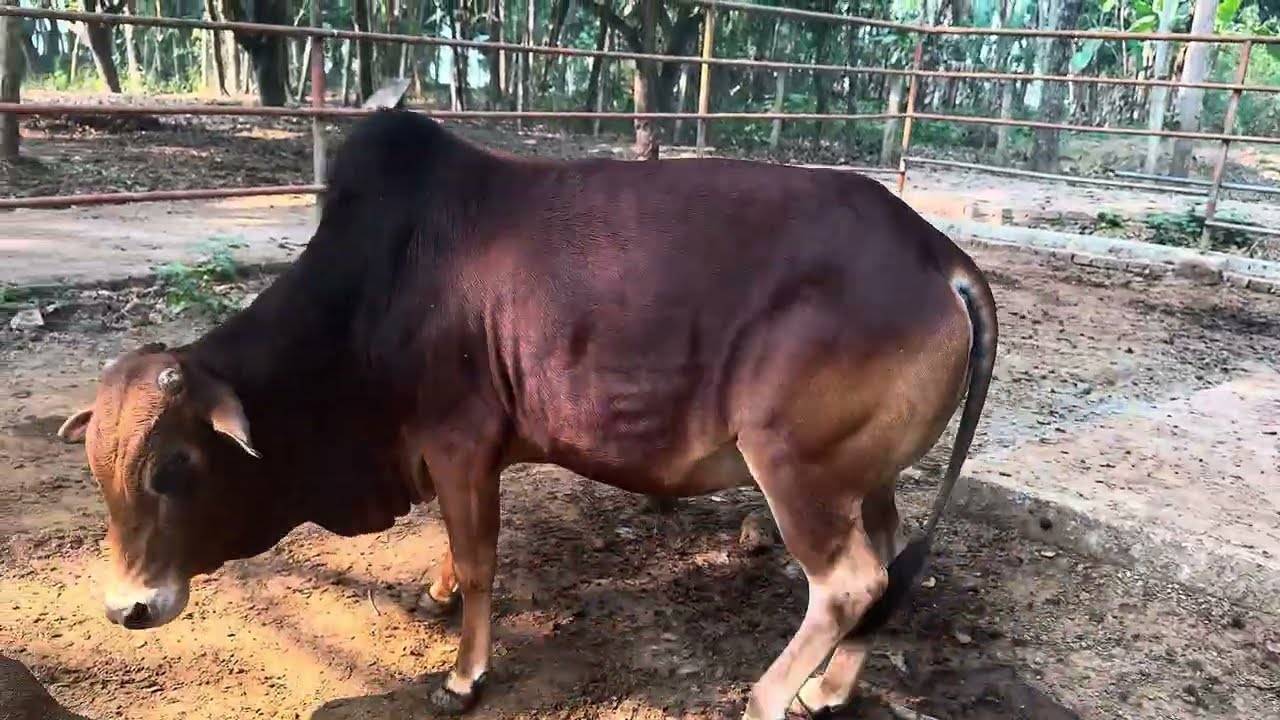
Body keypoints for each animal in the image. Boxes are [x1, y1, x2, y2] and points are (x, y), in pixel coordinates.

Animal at [57, 109, 997, 720]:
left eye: (171, 468)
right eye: (98, 473)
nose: (125, 609)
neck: (372, 291)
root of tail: (937, 253)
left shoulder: (459, 439)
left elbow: (480, 560)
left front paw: (464, 676)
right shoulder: (455, 454)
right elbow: (454, 548)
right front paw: (434, 594)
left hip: (796, 470)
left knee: (851, 582)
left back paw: (771, 695)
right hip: (861, 476)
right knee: (887, 560)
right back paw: (829, 690)